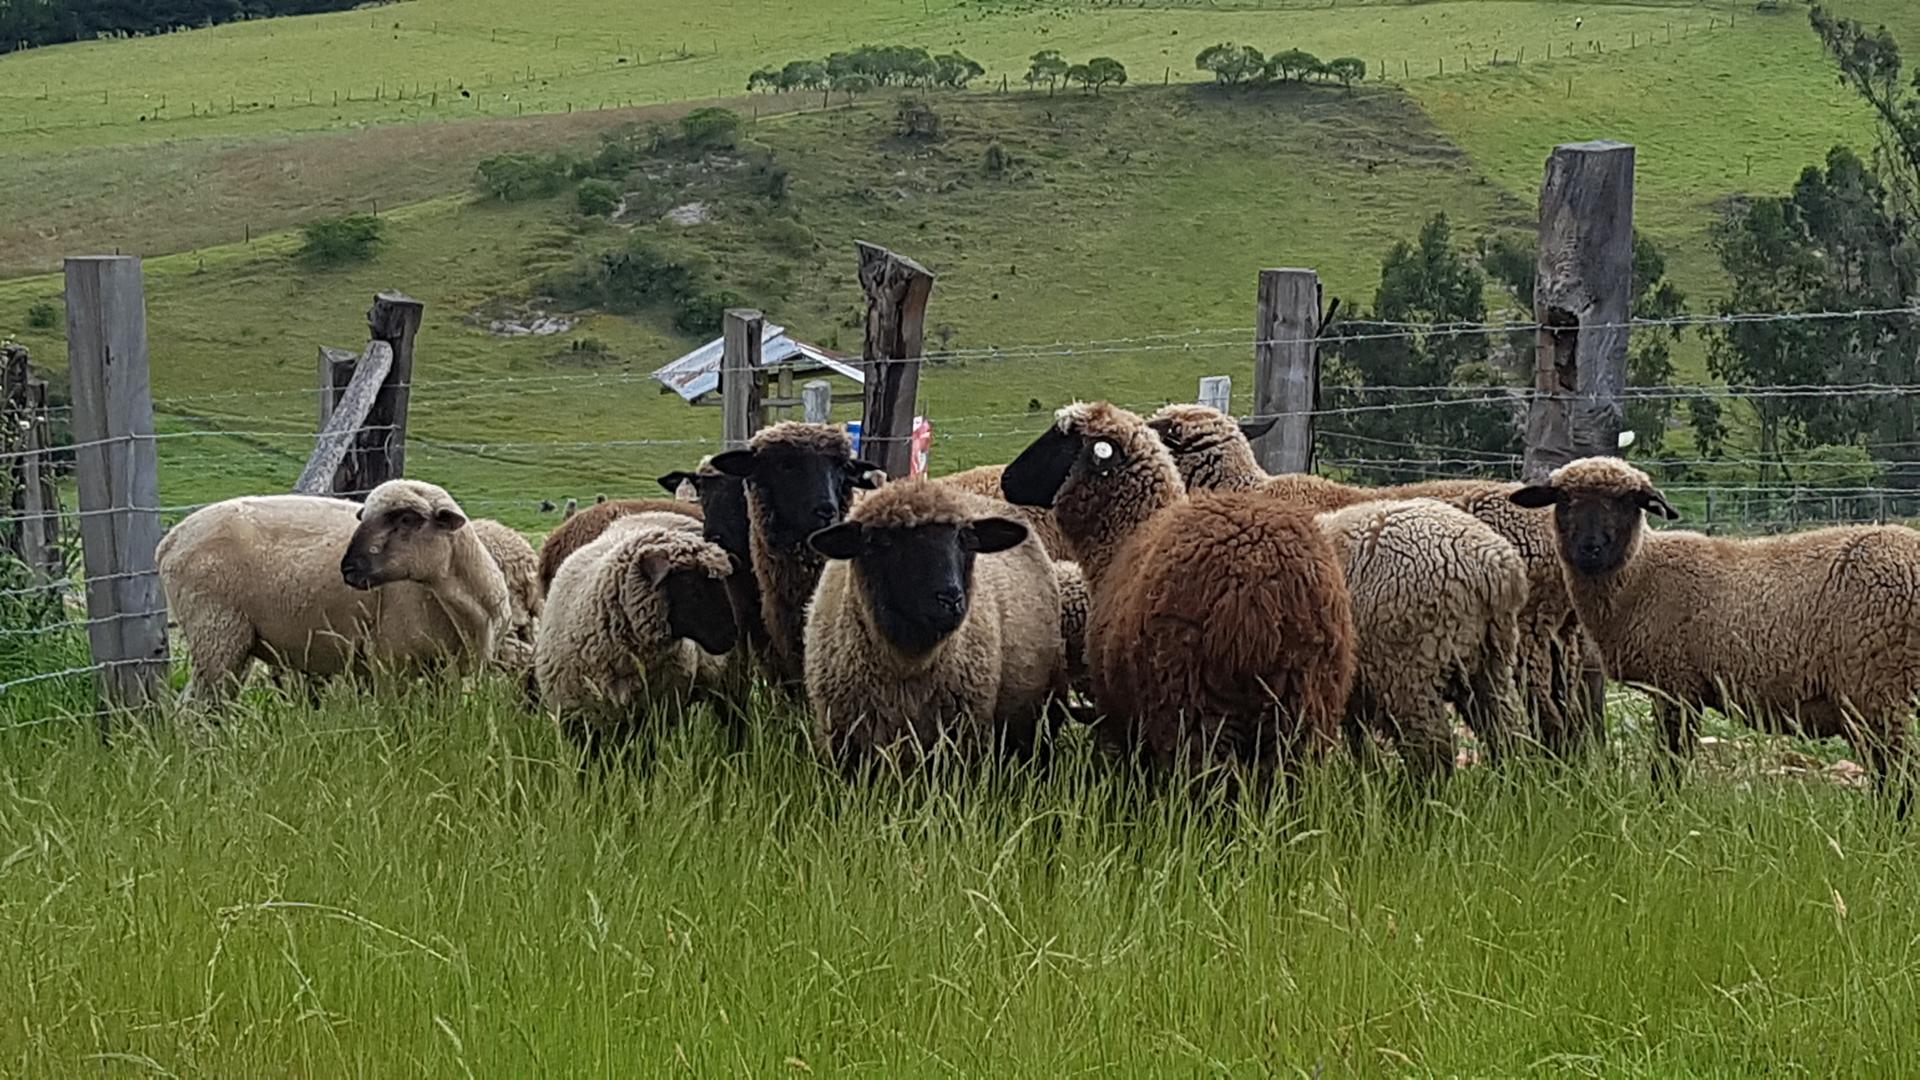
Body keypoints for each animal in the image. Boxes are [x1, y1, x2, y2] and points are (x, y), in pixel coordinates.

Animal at [158, 480, 509, 703]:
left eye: (408, 519)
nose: (348, 568)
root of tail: (170, 541)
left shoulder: (448, 673)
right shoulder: (388, 660)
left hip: (236, 644)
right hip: (216, 631)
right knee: (194, 711)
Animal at [1001, 402, 1356, 782]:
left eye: (1065, 439)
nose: (1006, 479)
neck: (1127, 534)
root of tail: (1261, 581)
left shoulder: (1122, 713)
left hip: (1194, 707)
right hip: (1303, 708)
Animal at [1512, 457, 1920, 808]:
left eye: (1626, 501)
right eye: (1564, 500)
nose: (1590, 549)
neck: (1642, 575)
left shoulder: (1677, 684)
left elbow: (1670, 762)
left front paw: (1664, 808)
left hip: (1873, 683)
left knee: (1899, 772)